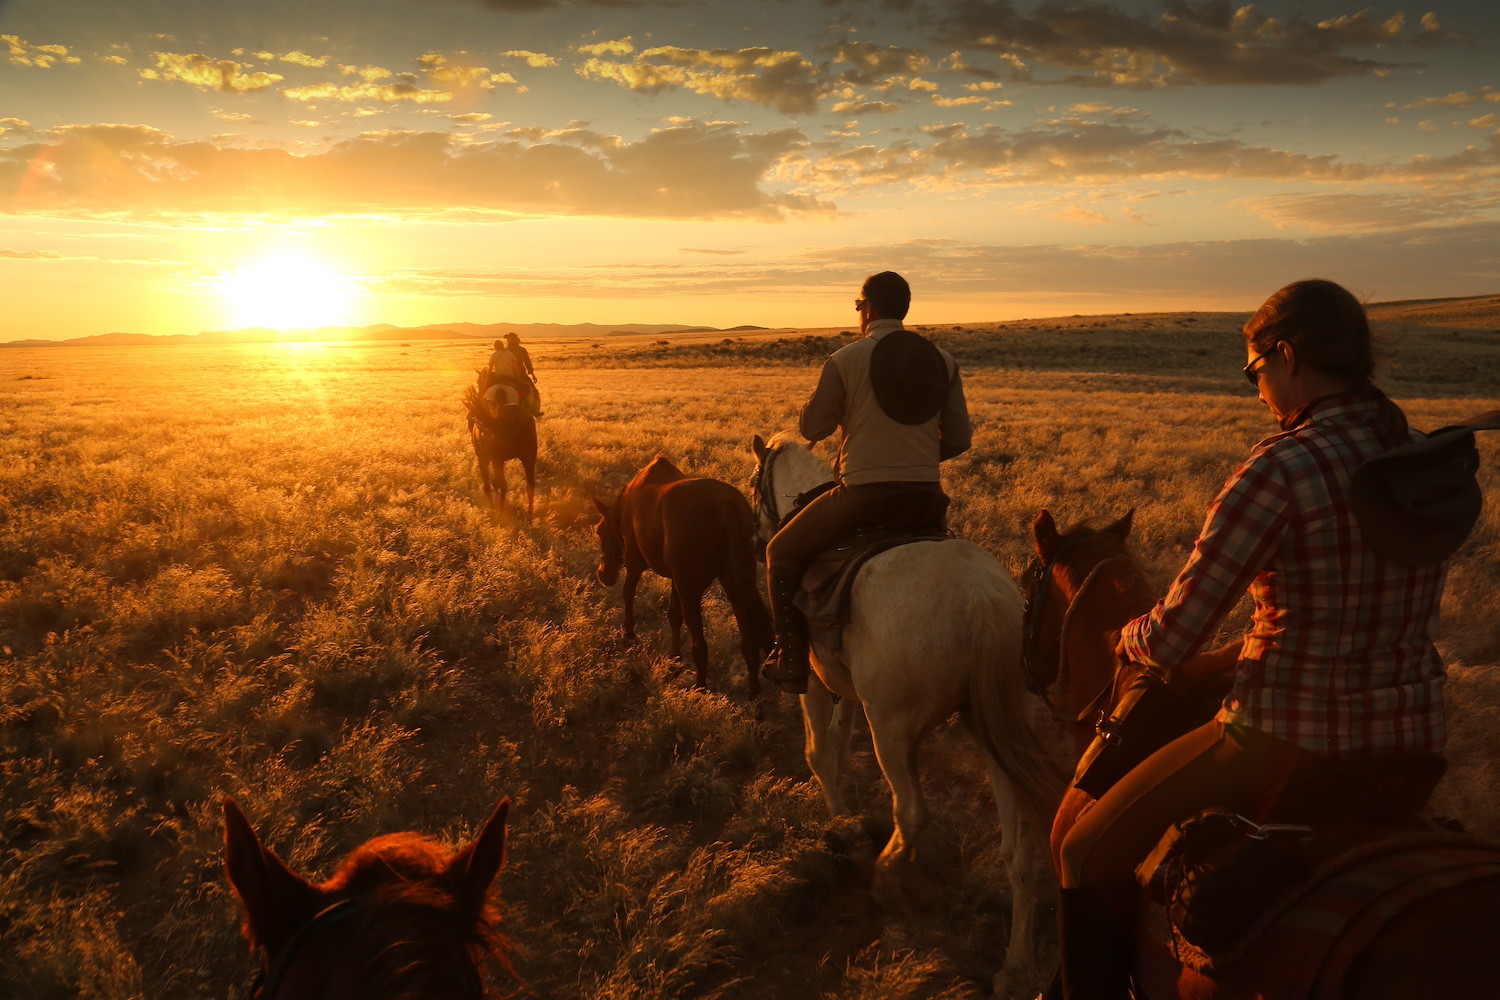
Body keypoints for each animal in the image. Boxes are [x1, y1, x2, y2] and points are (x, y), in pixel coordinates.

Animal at [468, 371, 546, 521]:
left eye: (479, 381)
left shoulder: (484, 457)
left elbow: (488, 484)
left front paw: (492, 506)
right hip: (529, 456)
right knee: (529, 485)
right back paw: (529, 516)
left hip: (496, 459)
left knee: (501, 484)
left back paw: (500, 511)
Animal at [591, 455, 774, 695]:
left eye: (599, 532)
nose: (604, 575)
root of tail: (724, 504)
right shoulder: (675, 579)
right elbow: (674, 617)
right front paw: (674, 659)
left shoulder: (634, 564)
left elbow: (628, 593)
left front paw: (629, 634)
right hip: (735, 587)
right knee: (749, 643)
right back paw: (754, 695)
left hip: (692, 592)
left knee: (700, 645)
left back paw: (700, 690)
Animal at [750, 431, 1068, 1000]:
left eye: (752, 483)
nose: (751, 535)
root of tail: (980, 600)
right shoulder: (850, 691)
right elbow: (838, 740)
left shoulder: (813, 680)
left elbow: (817, 751)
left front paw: (840, 820)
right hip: (997, 730)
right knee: (1019, 851)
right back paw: (1014, 968)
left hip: (894, 733)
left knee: (913, 813)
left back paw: (885, 877)